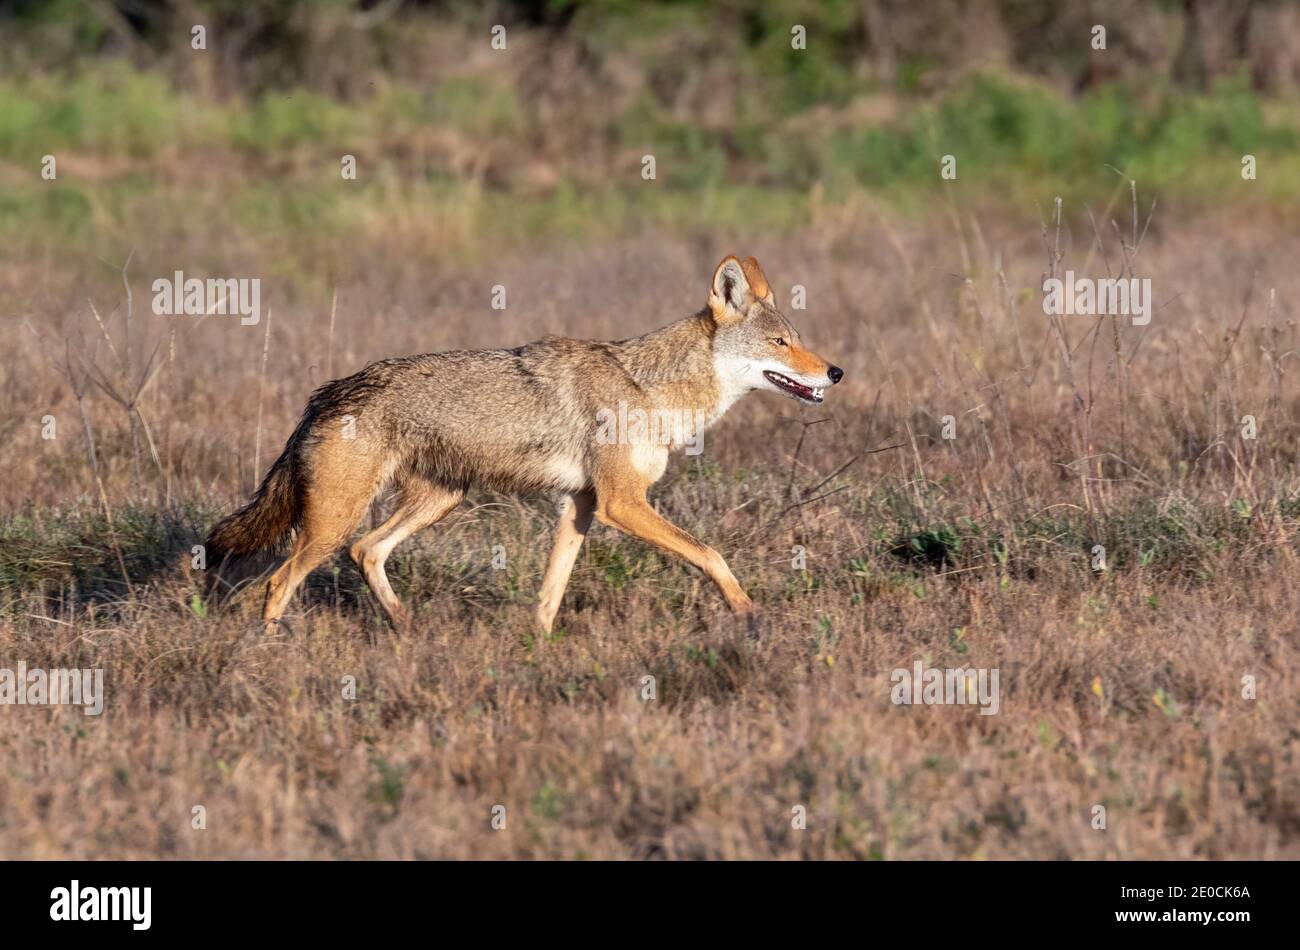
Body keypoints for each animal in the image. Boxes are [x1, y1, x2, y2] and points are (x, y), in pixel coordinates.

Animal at [204, 255, 843, 634]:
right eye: (782, 343)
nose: (835, 372)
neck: (653, 388)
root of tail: (327, 393)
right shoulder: (621, 504)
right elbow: (711, 554)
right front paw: (748, 614)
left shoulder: (582, 506)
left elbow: (550, 591)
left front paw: (538, 645)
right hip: (333, 524)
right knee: (281, 581)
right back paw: (271, 650)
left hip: (436, 503)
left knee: (367, 552)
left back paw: (406, 630)